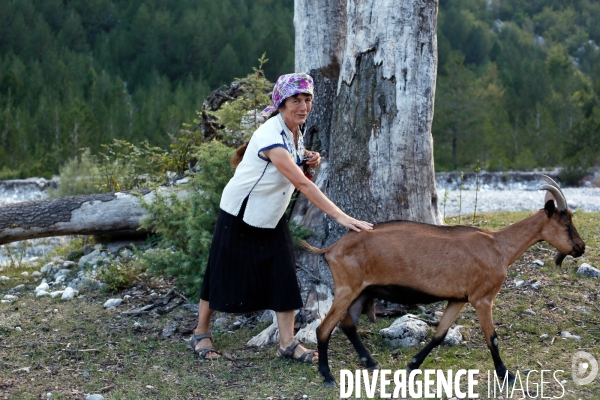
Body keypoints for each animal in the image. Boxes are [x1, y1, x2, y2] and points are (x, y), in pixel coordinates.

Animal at [302, 175, 584, 384]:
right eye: (565, 222)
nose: (581, 248)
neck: (499, 246)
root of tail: (332, 248)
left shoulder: (458, 299)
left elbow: (439, 334)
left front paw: (412, 364)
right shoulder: (482, 298)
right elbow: (492, 337)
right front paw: (506, 375)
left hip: (362, 291)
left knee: (348, 325)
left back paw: (370, 363)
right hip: (347, 288)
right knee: (324, 328)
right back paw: (327, 376)